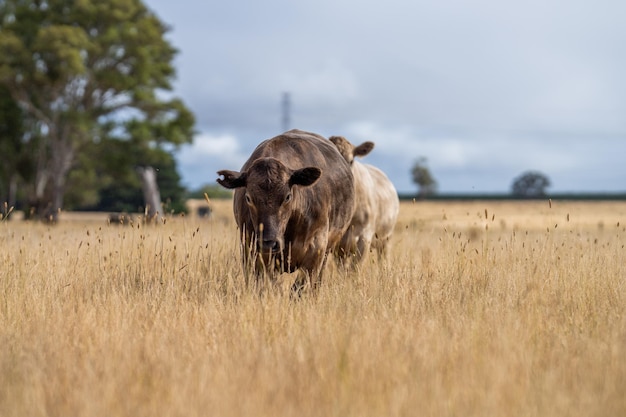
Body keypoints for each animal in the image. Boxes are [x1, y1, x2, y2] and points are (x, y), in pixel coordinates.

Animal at [217, 130, 354, 292]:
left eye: (287, 196)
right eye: (248, 198)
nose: (268, 243)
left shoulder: (317, 249)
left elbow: (299, 289)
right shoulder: (251, 250)